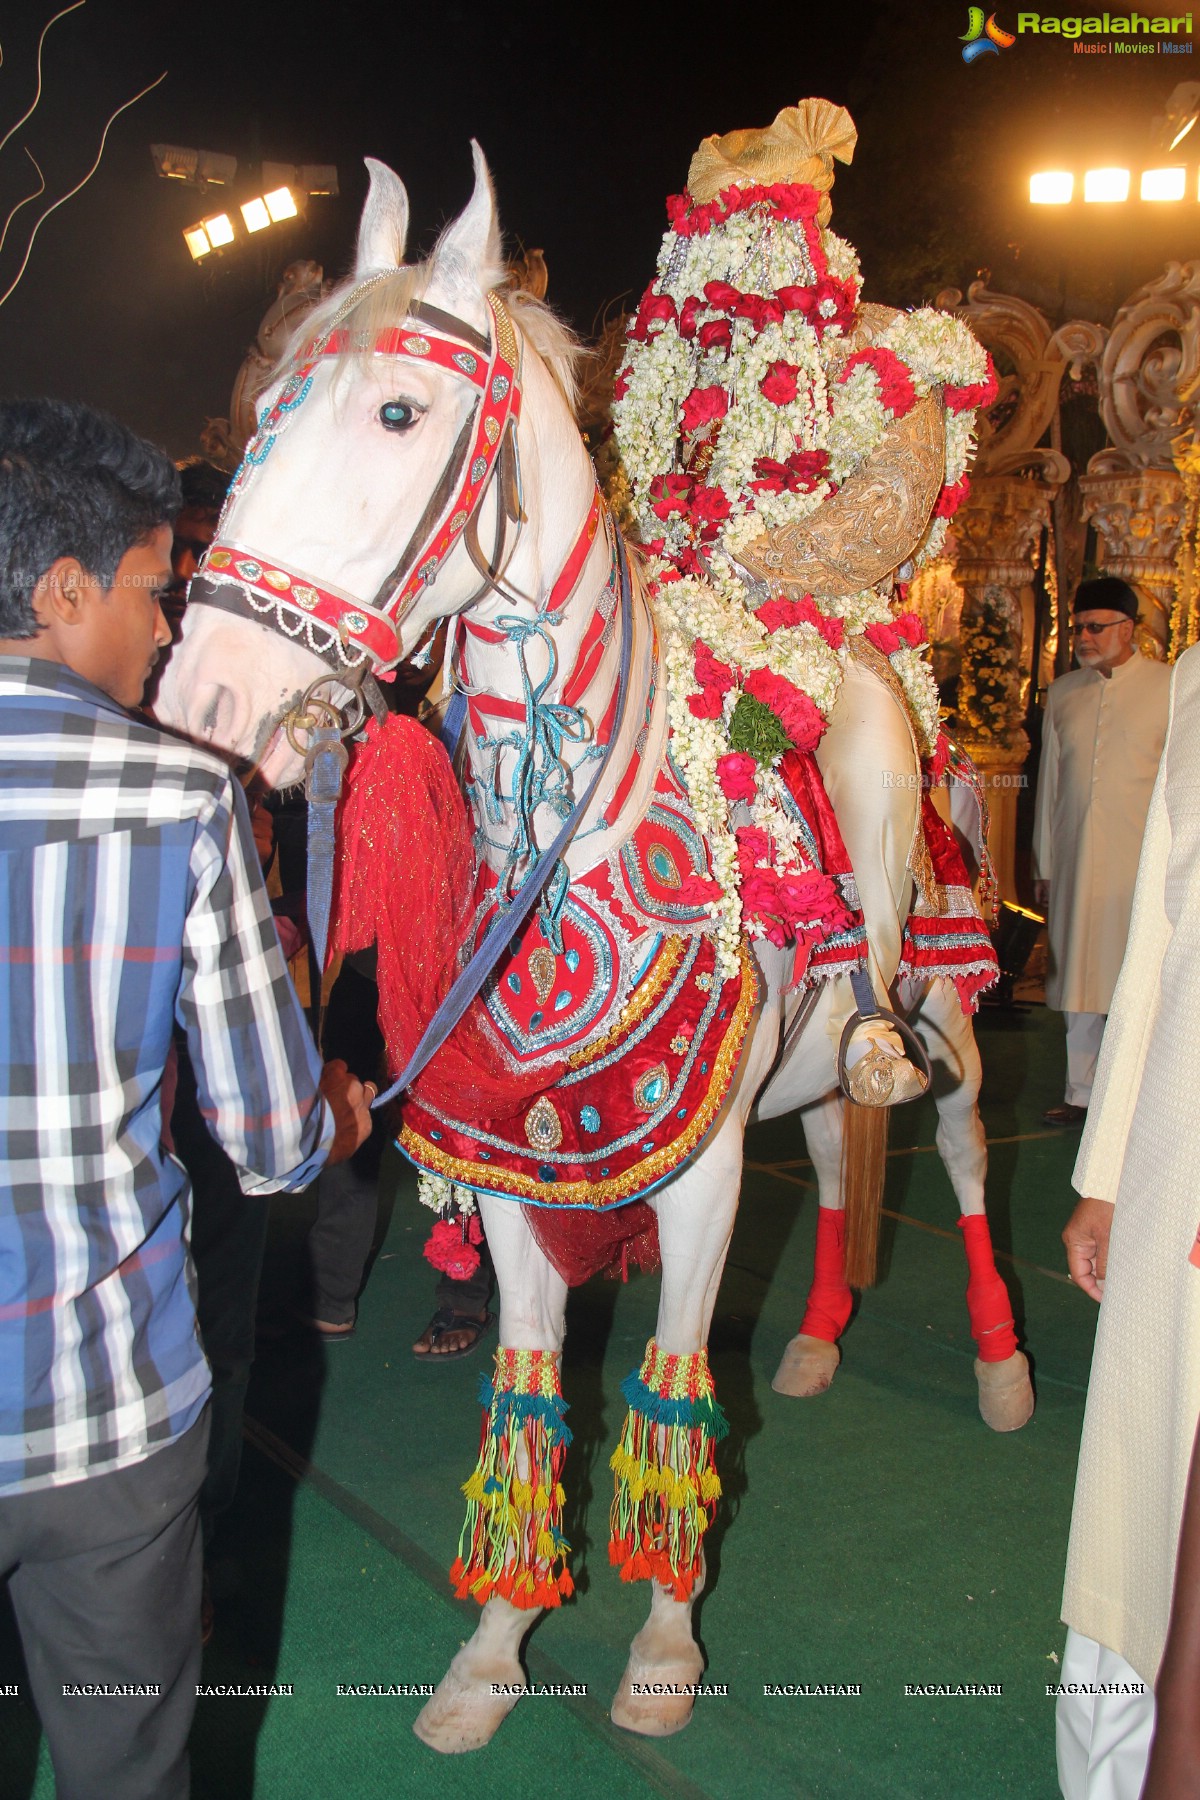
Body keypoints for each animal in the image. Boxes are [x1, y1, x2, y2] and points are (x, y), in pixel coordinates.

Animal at [152, 147, 1036, 1749]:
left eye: (399, 413)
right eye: (263, 416)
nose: (207, 693)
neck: (581, 839)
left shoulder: (698, 1184)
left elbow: (673, 1383)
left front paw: (665, 1648)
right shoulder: (523, 1173)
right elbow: (528, 1377)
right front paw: (496, 1646)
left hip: (939, 1010)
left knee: (954, 1150)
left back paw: (1003, 1367)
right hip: (809, 1079)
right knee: (834, 1155)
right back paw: (818, 1336)